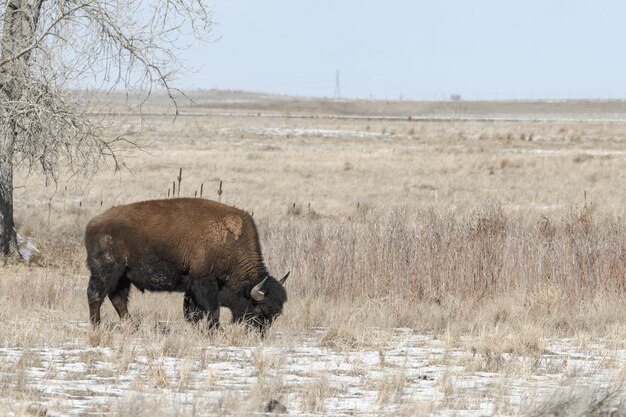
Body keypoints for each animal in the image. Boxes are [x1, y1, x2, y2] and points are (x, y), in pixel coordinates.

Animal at [84, 197, 288, 334]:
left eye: (276, 314)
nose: (260, 334)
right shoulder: (204, 282)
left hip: (123, 277)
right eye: (259, 310)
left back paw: (132, 327)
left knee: (118, 299)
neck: (230, 241)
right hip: (106, 272)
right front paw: (216, 331)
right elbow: (212, 310)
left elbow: (192, 312)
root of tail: (93, 223)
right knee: (96, 295)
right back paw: (97, 326)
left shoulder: (191, 287)